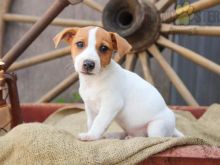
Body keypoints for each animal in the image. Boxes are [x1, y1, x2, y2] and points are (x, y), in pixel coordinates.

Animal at [53, 26, 184, 141]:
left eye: (104, 48)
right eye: (80, 44)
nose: (88, 64)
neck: (94, 81)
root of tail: (173, 128)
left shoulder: (111, 105)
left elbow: (99, 121)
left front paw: (91, 136)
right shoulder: (89, 107)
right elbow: (91, 122)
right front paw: (93, 134)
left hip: (156, 126)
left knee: (153, 138)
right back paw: (115, 135)